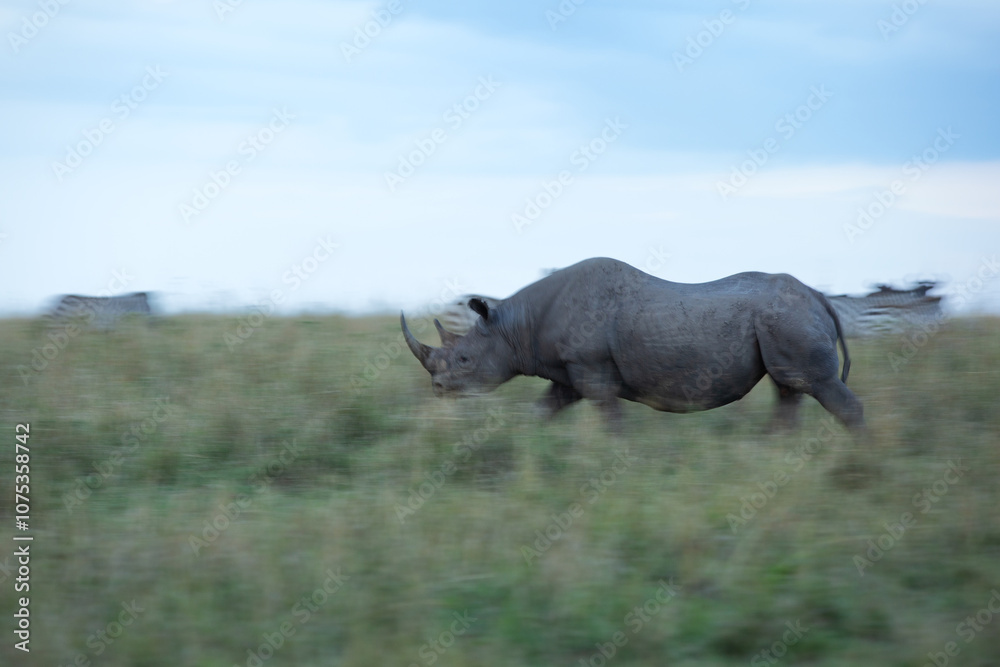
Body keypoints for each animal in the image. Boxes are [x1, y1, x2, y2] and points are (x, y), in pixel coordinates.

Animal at [401, 258, 864, 432]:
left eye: (464, 358)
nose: (438, 390)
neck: (514, 327)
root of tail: (818, 296)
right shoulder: (567, 371)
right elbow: (541, 411)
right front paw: (529, 445)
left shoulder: (591, 368)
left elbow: (610, 420)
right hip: (784, 320)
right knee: (789, 388)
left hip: (789, 318)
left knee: (815, 385)